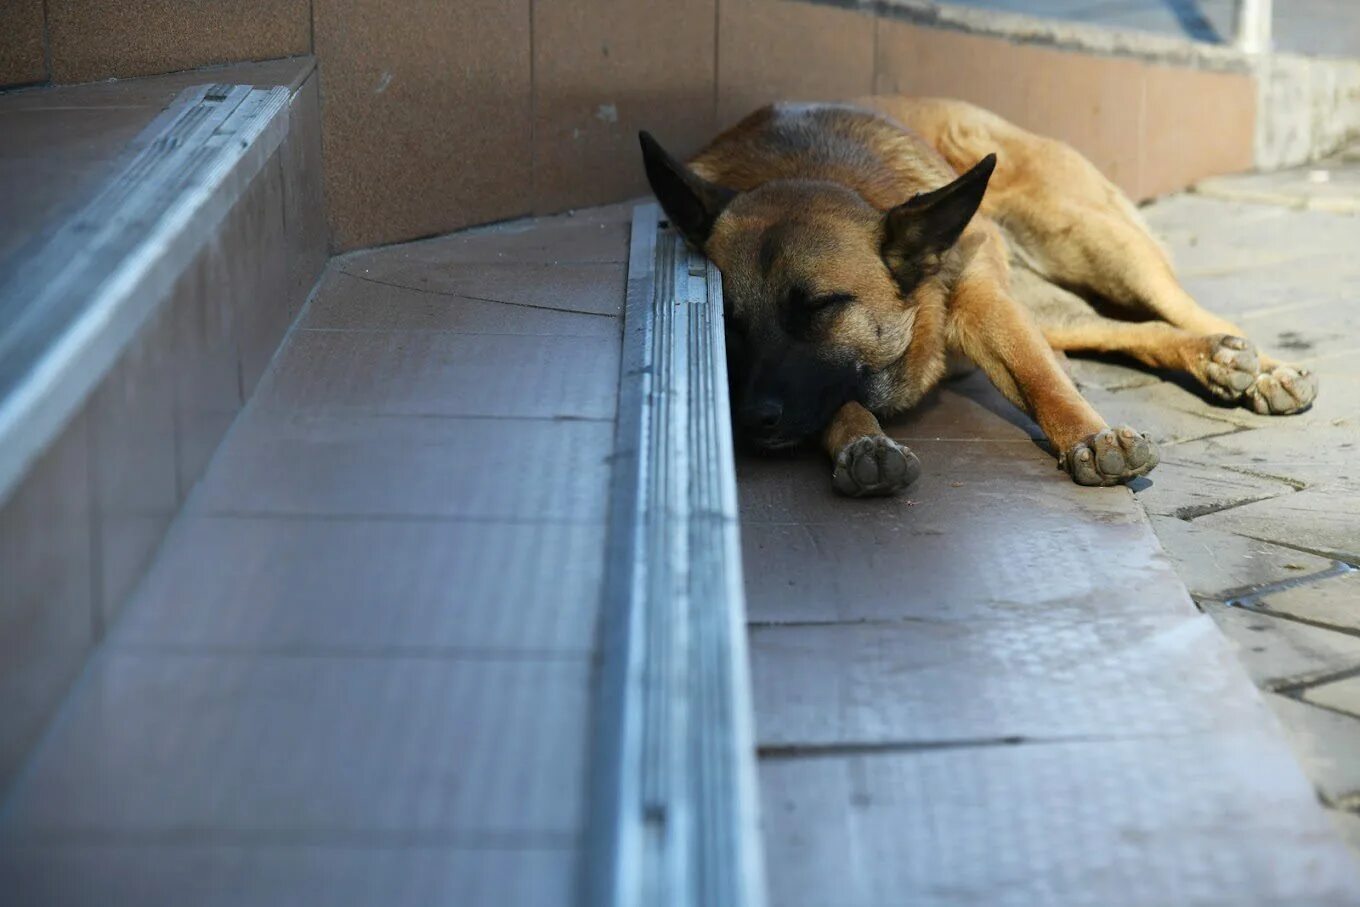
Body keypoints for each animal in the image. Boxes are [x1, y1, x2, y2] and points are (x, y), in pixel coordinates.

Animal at [636, 96, 1316, 497]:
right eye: (727, 321)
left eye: (821, 309)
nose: (752, 419)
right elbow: (838, 402)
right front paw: (863, 442)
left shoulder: (981, 300)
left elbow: (1038, 379)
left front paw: (1089, 437)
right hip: (1054, 301)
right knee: (1130, 331)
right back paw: (1210, 357)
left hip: (1096, 244)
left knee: (1185, 308)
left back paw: (1260, 368)